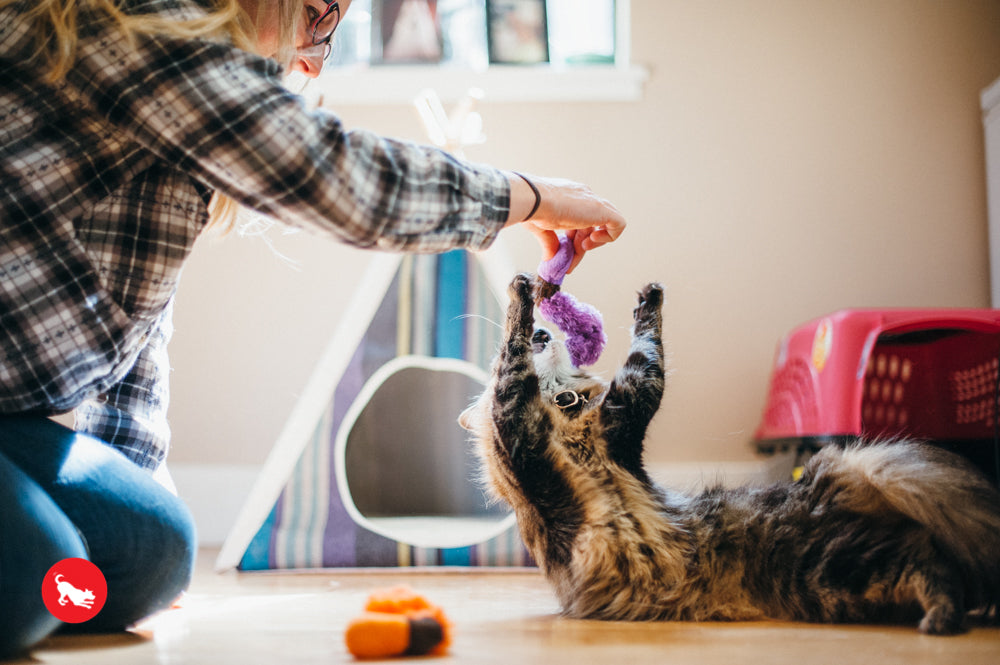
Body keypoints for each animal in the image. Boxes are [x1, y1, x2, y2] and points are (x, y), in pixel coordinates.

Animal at [458, 274, 1000, 632]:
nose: (544, 333)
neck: (567, 411)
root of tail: (840, 476)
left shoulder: (624, 417)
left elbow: (645, 352)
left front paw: (647, 296)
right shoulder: (525, 424)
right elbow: (515, 361)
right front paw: (521, 297)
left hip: (840, 569)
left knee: (938, 560)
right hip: (841, 566)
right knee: (935, 564)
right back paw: (945, 618)